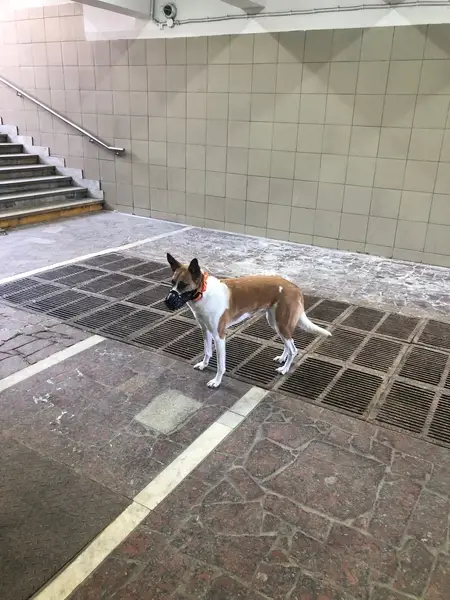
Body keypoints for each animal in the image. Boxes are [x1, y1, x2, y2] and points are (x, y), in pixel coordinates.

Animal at [164, 254, 331, 388]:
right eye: (172, 282)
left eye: (183, 285)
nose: (167, 302)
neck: (203, 293)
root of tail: (295, 287)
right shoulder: (205, 330)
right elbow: (207, 351)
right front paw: (203, 365)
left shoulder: (219, 336)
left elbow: (220, 364)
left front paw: (217, 381)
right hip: (275, 322)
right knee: (288, 344)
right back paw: (283, 358)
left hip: (282, 323)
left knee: (294, 349)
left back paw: (285, 369)